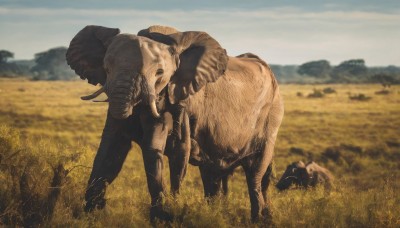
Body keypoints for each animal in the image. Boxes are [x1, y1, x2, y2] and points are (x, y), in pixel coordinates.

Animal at [66, 25, 284, 223]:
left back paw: (259, 220)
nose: (103, 205)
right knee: (212, 174)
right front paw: (90, 214)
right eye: (107, 68)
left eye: (159, 73)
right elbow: (111, 147)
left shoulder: (175, 100)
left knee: (255, 173)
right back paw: (217, 214)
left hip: (272, 116)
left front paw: (165, 216)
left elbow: (162, 148)